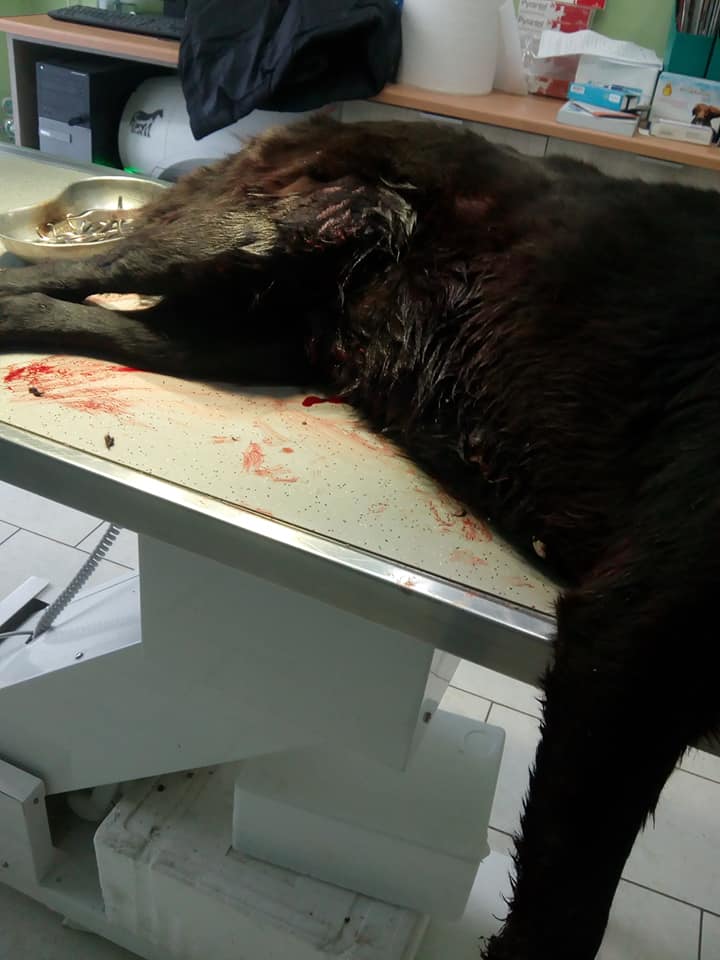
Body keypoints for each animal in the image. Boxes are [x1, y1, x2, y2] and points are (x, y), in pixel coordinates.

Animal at [1, 116, 719, 959]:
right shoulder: (632, 651)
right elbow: (564, 913)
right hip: (255, 232)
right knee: (67, 271)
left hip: (241, 333)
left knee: (78, 310)